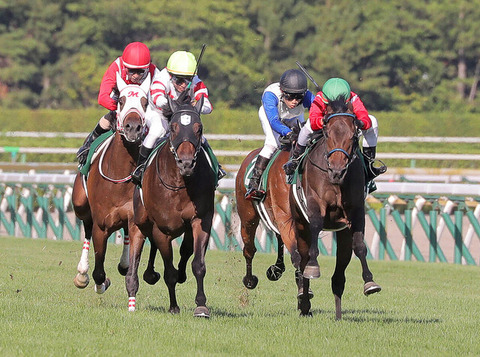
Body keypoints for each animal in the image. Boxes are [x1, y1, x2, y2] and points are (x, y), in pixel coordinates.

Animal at [72, 73, 160, 294]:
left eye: (145, 102)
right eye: (121, 100)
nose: (133, 127)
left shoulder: (135, 218)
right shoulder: (101, 225)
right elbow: (98, 271)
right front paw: (97, 281)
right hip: (81, 204)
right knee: (86, 227)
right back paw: (82, 273)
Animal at [126, 96, 215, 316]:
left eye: (199, 128)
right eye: (174, 128)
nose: (186, 163)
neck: (180, 183)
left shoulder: (201, 220)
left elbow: (197, 264)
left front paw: (201, 305)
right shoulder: (162, 229)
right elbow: (169, 272)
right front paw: (174, 306)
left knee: (185, 251)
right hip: (139, 223)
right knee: (137, 250)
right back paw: (132, 289)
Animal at [292, 98, 382, 320]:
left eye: (353, 136)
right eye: (327, 134)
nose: (337, 171)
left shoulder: (356, 211)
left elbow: (360, 246)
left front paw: (370, 282)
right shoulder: (315, 205)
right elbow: (315, 230)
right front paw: (313, 267)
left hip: (342, 235)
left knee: (339, 274)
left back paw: (336, 313)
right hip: (299, 224)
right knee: (302, 257)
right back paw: (304, 299)